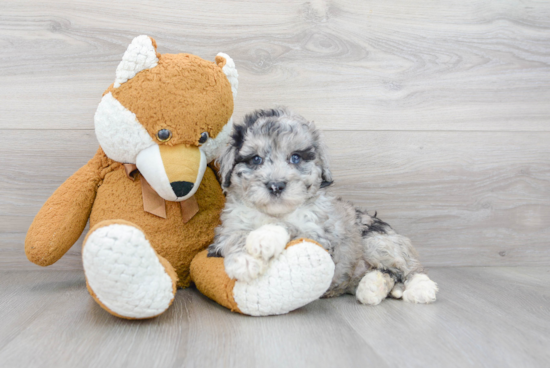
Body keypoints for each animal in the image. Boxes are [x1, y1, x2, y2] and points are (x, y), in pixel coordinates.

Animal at [208, 107, 440, 304]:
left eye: (295, 158)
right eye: (256, 159)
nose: (276, 186)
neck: (274, 213)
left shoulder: (320, 237)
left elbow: (290, 227)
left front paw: (264, 237)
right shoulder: (224, 233)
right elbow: (235, 237)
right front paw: (245, 260)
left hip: (378, 240)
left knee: (408, 267)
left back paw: (421, 288)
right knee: (388, 274)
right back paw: (371, 288)